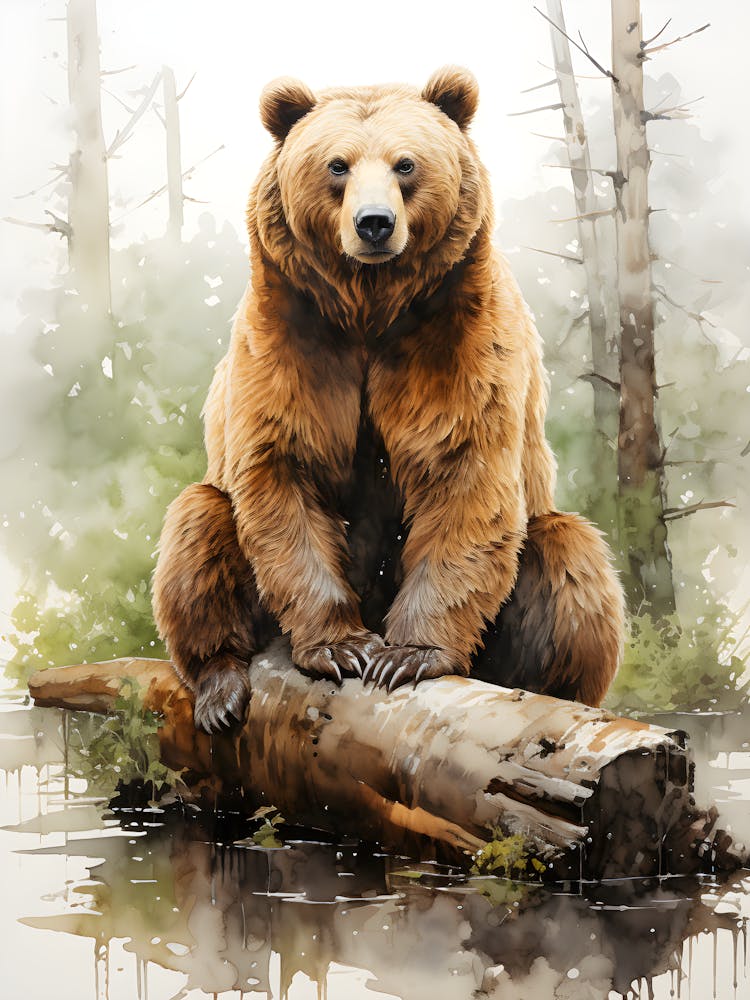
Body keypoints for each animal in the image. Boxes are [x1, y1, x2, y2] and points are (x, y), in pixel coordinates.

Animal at [152, 66, 625, 733]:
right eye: (337, 165)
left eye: (406, 164)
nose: (374, 222)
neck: (371, 307)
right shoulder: (294, 338)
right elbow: (283, 472)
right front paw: (341, 645)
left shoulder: (457, 335)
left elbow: (464, 474)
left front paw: (409, 653)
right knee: (197, 528)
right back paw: (219, 686)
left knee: (569, 558)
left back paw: (552, 692)